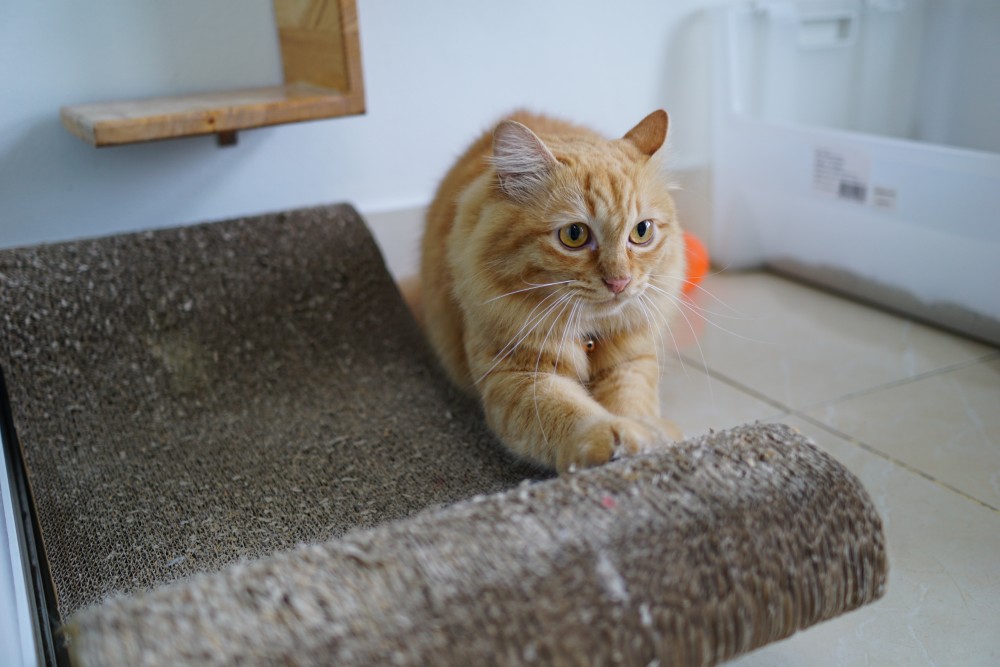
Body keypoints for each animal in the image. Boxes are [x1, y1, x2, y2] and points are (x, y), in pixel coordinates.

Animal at [416, 109, 688, 472]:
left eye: (641, 231)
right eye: (574, 235)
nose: (620, 282)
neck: (588, 334)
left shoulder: (633, 360)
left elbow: (632, 401)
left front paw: (651, 434)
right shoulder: (518, 376)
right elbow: (566, 411)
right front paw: (610, 437)